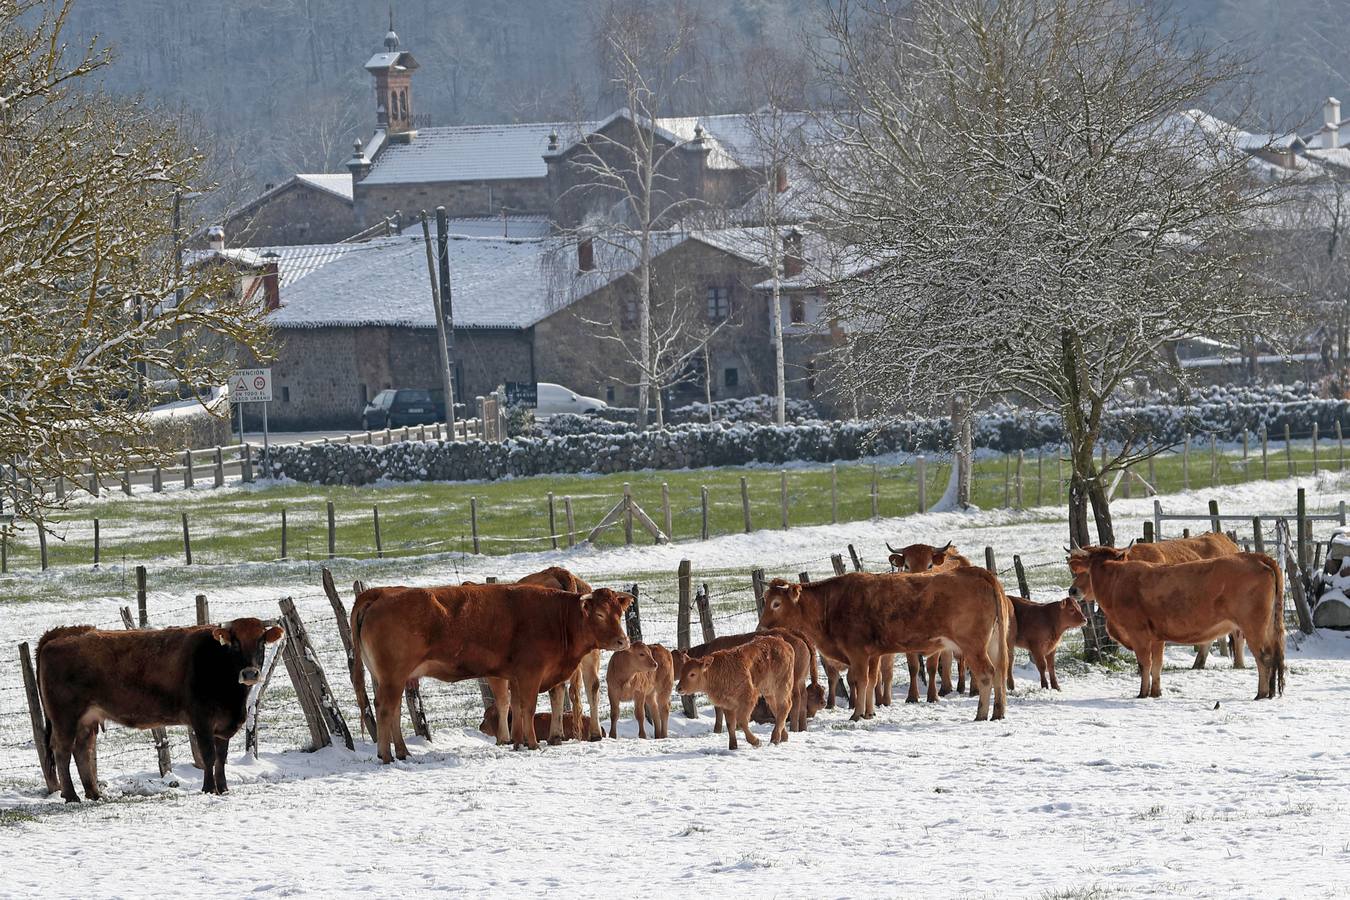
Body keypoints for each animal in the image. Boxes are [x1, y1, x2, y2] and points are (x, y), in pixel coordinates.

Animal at [38, 620, 283, 804]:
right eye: (235, 643)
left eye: (261, 642)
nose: (250, 673)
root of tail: (61, 634)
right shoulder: (201, 720)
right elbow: (209, 755)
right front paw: (208, 788)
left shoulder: (223, 725)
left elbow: (222, 757)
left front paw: (223, 788)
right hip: (65, 718)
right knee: (62, 752)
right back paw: (71, 796)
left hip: (87, 720)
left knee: (82, 750)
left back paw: (94, 793)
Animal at [351, 580, 629, 755]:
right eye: (600, 614)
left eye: (619, 613)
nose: (622, 641)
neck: (554, 617)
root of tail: (381, 593)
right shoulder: (530, 673)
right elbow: (528, 708)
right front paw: (532, 744)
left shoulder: (515, 676)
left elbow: (516, 707)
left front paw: (517, 742)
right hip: (393, 677)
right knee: (386, 710)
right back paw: (387, 755)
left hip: (392, 679)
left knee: (393, 710)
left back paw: (402, 752)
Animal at [756, 569, 1009, 723]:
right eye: (765, 601)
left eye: (776, 603)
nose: (760, 628)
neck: (832, 604)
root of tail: (978, 572)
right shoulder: (873, 655)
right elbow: (872, 680)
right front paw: (869, 712)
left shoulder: (857, 653)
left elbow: (860, 680)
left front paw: (857, 713)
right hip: (994, 644)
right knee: (1000, 673)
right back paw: (998, 712)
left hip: (973, 646)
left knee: (987, 674)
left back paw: (981, 713)